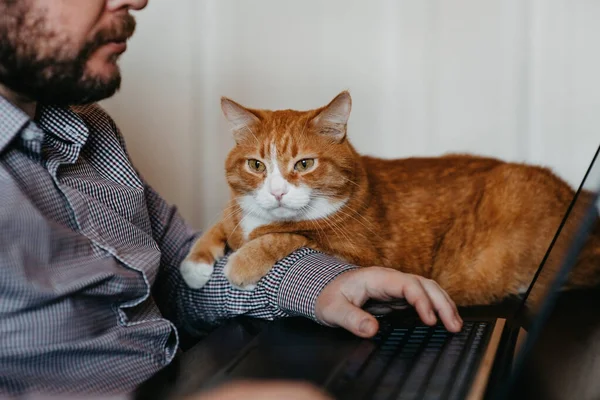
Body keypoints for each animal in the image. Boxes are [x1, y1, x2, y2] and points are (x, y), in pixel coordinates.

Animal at [182, 91, 600, 306]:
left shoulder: (357, 251)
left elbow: (289, 234)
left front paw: (241, 264)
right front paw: (195, 266)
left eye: (305, 163)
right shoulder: (236, 213)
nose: (278, 191)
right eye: (256, 165)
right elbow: (220, 224)